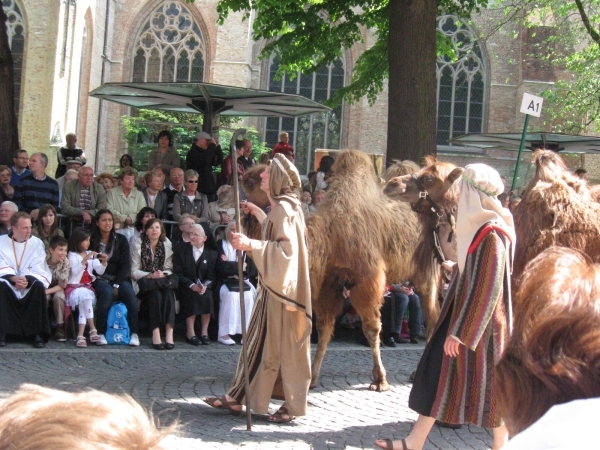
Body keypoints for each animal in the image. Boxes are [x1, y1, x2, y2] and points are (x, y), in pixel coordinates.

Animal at [239, 151, 422, 390]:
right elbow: (324, 329)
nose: (240, 182)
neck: (330, 236)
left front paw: (380, 380)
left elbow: (372, 328)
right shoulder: (328, 283)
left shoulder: (368, 279)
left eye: (252, 181)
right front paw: (312, 378)